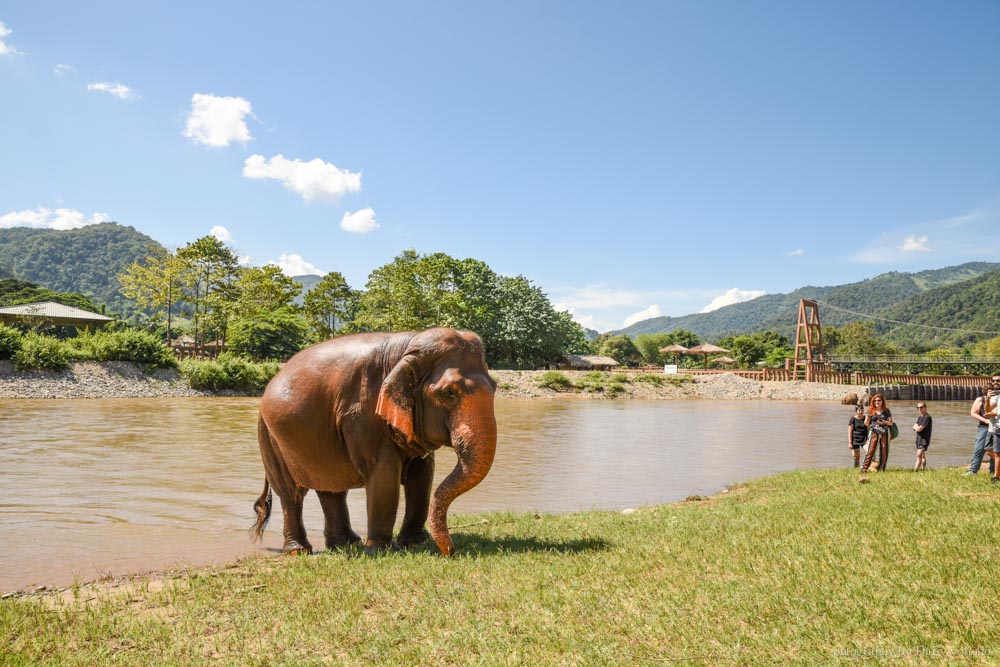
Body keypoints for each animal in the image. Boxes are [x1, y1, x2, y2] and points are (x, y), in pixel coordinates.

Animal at [252, 326, 498, 556]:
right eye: (449, 393)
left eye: (495, 387)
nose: (450, 550)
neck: (407, 347)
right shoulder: (362, 414)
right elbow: (383, 474)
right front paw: (381, 550)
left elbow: (423, 475)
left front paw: (416, 543)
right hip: (271, 437)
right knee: (291, 493)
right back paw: (299, 551)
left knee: (330, 488)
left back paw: (346, 544)